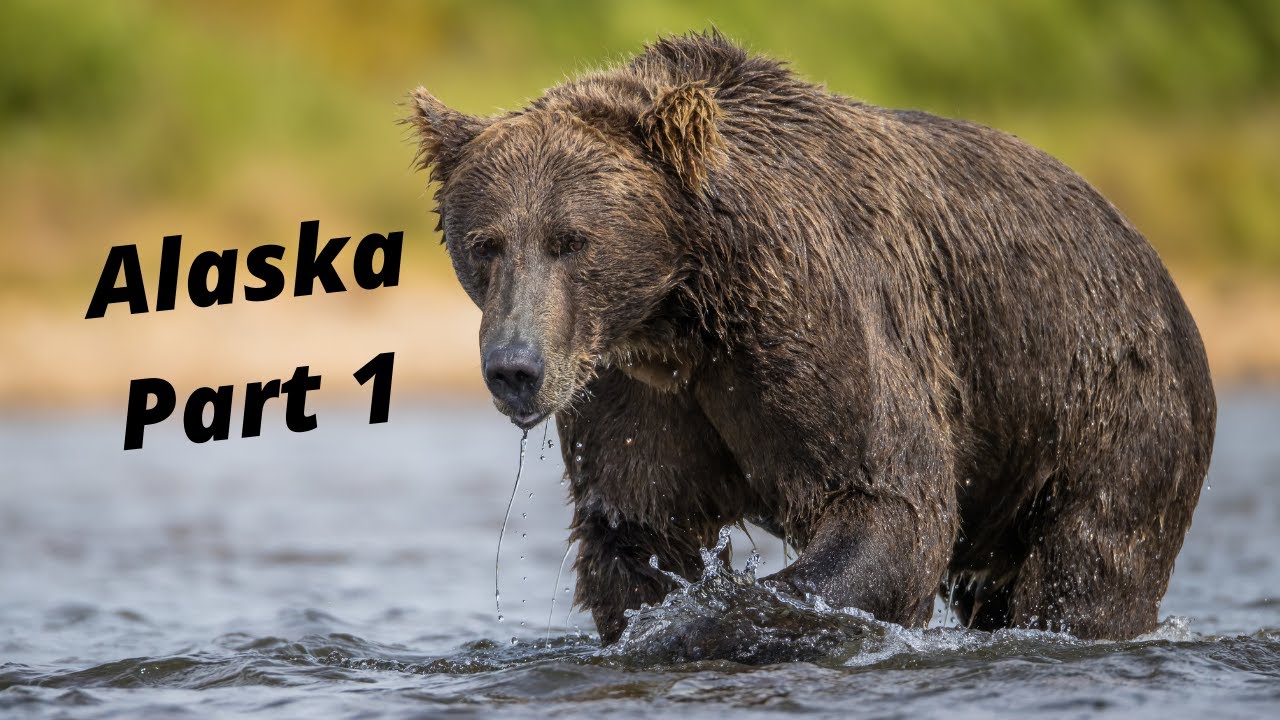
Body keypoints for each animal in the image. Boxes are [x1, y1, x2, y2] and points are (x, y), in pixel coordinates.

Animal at [406, 31, 1216, 649]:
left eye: (571, 240)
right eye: (485, 244)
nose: (515, 367)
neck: (685, 311)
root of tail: (1151, 257)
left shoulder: (824, 317)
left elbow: (890, 499)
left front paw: (711, 622)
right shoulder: (630, 388)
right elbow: (635, 526)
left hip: (1103, 404)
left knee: (1089, 566)